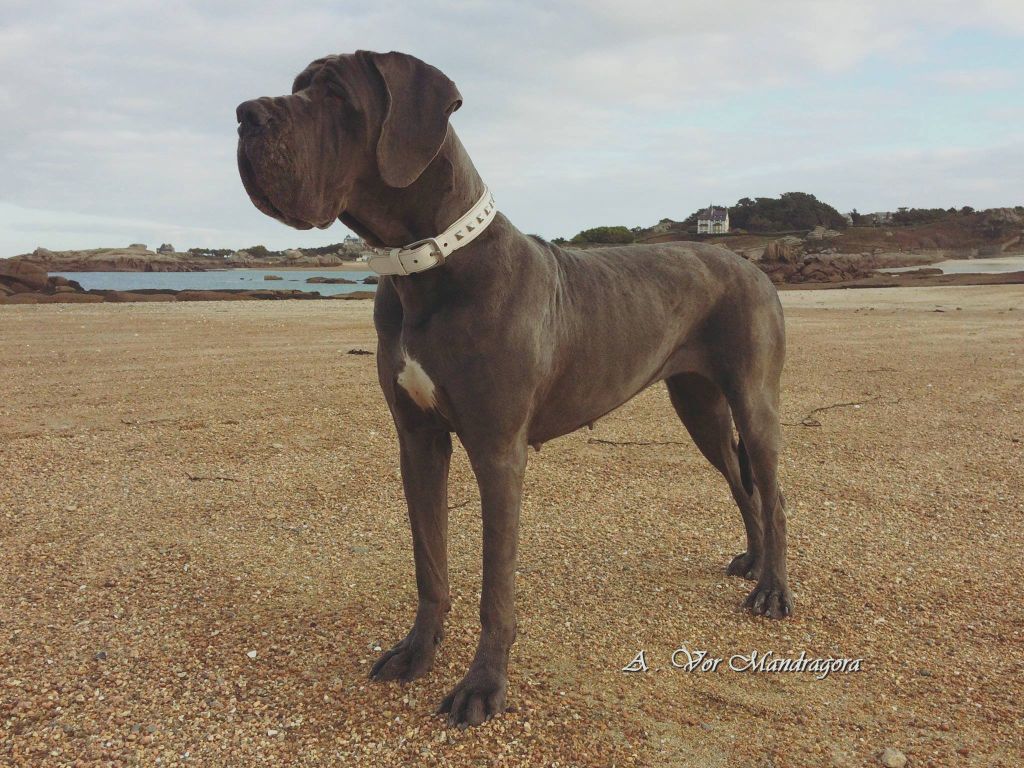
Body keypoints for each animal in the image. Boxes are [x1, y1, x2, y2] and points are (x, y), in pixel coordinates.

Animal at [237, 51, 790, 729]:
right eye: (297, 87)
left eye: (337, 94)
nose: (245, 113)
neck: (426, 267)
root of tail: (753, 266)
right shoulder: (418, 440)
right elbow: (429, 562)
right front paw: (416, 652)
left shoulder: (499, 450)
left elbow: (495, 585)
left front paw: (482, 686)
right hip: (698, 404)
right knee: (740, 482)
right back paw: (753, 564)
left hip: (753, 399)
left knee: (772, 491)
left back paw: (774, 589)